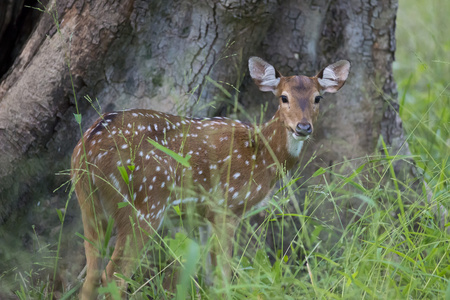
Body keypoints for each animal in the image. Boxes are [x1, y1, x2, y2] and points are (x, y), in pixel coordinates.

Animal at [71, 56, 352, 298]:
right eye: (284, 97)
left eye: (317, 98)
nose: (303, 127)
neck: (261, 155)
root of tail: (86, 150)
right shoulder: (226, 206)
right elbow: (223, 276)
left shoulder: (204, 216)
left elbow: (210, 277)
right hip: (145, 203)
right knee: (113, 276)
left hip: (90, 206)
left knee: (91, 276)